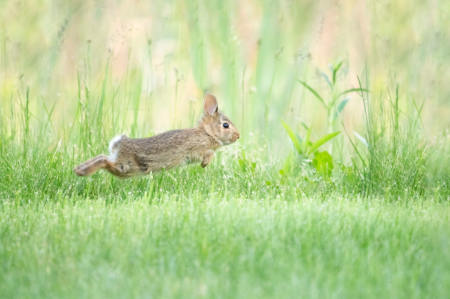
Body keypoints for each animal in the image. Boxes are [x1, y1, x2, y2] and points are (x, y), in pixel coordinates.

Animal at [74, 93, 241, 178]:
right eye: (225, 125)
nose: (238, 136)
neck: (207, 133)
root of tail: (118, 144)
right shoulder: (198, 148)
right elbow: (209, 154)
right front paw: (205, 164)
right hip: (127, 168)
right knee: (105, 162)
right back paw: (82, 172)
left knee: (102, 157)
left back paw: (79, 169)